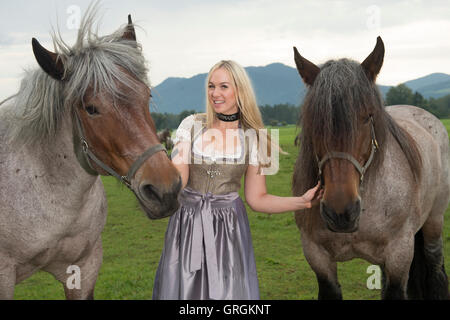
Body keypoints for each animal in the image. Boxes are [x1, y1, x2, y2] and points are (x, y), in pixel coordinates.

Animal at [294, 37, 448, 300]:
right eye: (313, 119)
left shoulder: (399, 253)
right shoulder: (318, 258)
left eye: (368, 116)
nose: (340, 212)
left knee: (435, 269)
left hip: (434, 223)